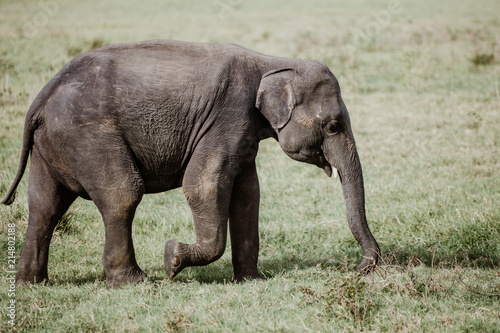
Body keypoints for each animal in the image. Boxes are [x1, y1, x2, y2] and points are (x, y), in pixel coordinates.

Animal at [0, 39, 378, 286]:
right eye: (332, 126)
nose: (359, 268)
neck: (271, 62)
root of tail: (42, 98)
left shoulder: (243, 131)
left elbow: (248, 195)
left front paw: (252, 280)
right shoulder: (228, 116)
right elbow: (202, 185)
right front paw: (172, 259)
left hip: (53, 145)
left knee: (45, 205)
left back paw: (33, 284)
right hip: (88, 135)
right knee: (122, 194)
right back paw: (136, 282)